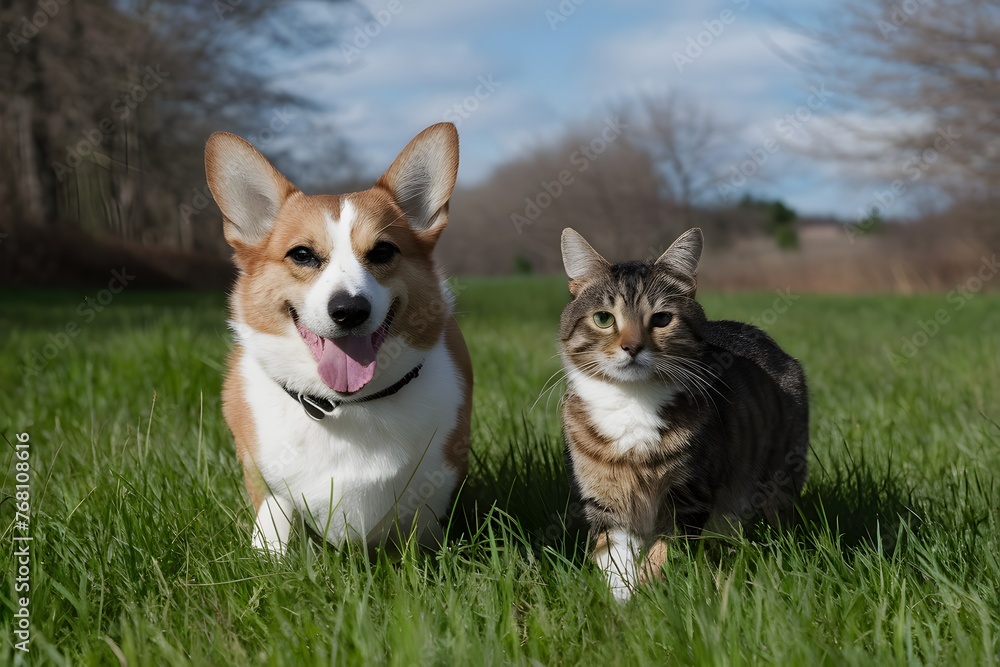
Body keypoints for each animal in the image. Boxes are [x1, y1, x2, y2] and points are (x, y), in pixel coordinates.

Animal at [205, 122, 474, 556]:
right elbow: (275, 522)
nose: (349, 310)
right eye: (302, 254)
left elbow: (420, 530)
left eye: (382, 251)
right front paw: (272, 557)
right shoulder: (266, 483)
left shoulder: (435, 484)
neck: (344, 406)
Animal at [560, 227, 808, 604]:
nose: (632, 347)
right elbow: (614, 559)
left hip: (776, 477)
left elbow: (665, 552)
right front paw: (622, 603)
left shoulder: (690, 494)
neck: (633, 402)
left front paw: (649, 593)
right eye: (604, 318)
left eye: (662, 318)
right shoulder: (607, 499)